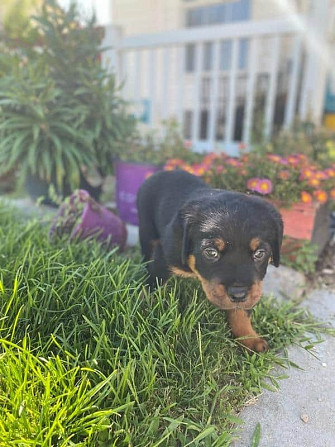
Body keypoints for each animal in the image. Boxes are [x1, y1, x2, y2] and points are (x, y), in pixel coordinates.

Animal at [137, 170, 284, 352]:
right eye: (211, 252)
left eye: (260, 253)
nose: (238, 294)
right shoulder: (163, 256)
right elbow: (152, 286)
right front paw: (144, 311)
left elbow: (242, 312)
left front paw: (249, 338)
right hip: (146, 230)